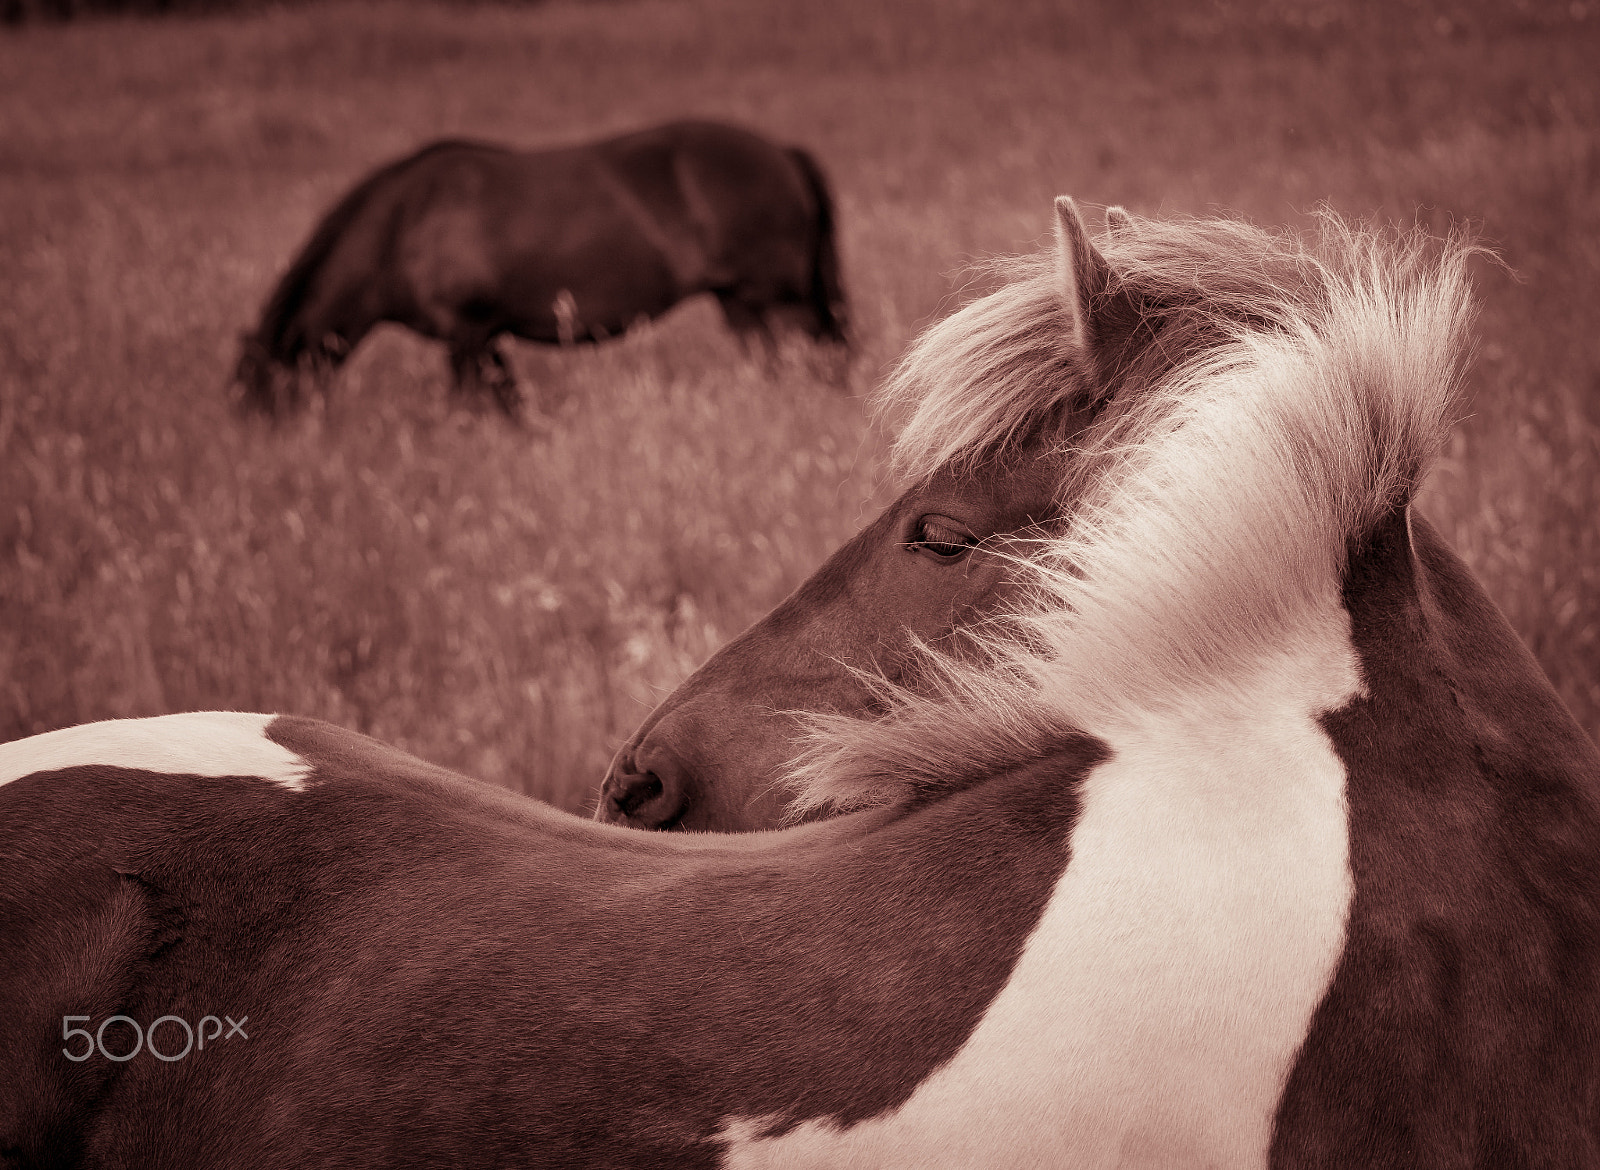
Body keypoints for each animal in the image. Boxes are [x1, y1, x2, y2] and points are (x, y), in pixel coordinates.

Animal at [232, 120, 848, 418]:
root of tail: (783, 152)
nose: (275, 464)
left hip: (782, 303)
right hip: (742, 305)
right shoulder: (483, 340)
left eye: (261, 398)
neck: (405, 226)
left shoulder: (468, 336)